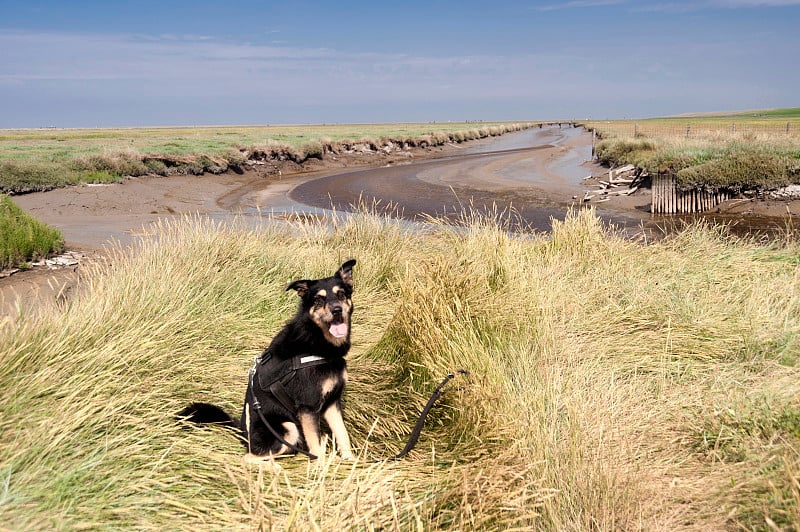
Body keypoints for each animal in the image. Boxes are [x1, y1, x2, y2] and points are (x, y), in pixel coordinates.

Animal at [181, 258, 360, 462]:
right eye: (318, 299)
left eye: (341, 294)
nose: (337, 310)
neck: (317, 340)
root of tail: (242, 432)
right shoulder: (307, 408)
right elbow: (316, 446)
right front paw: (321, 467)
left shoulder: (332, 403)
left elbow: (343, 434)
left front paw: (350, 461)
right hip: (287, 427)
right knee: (249, 457)